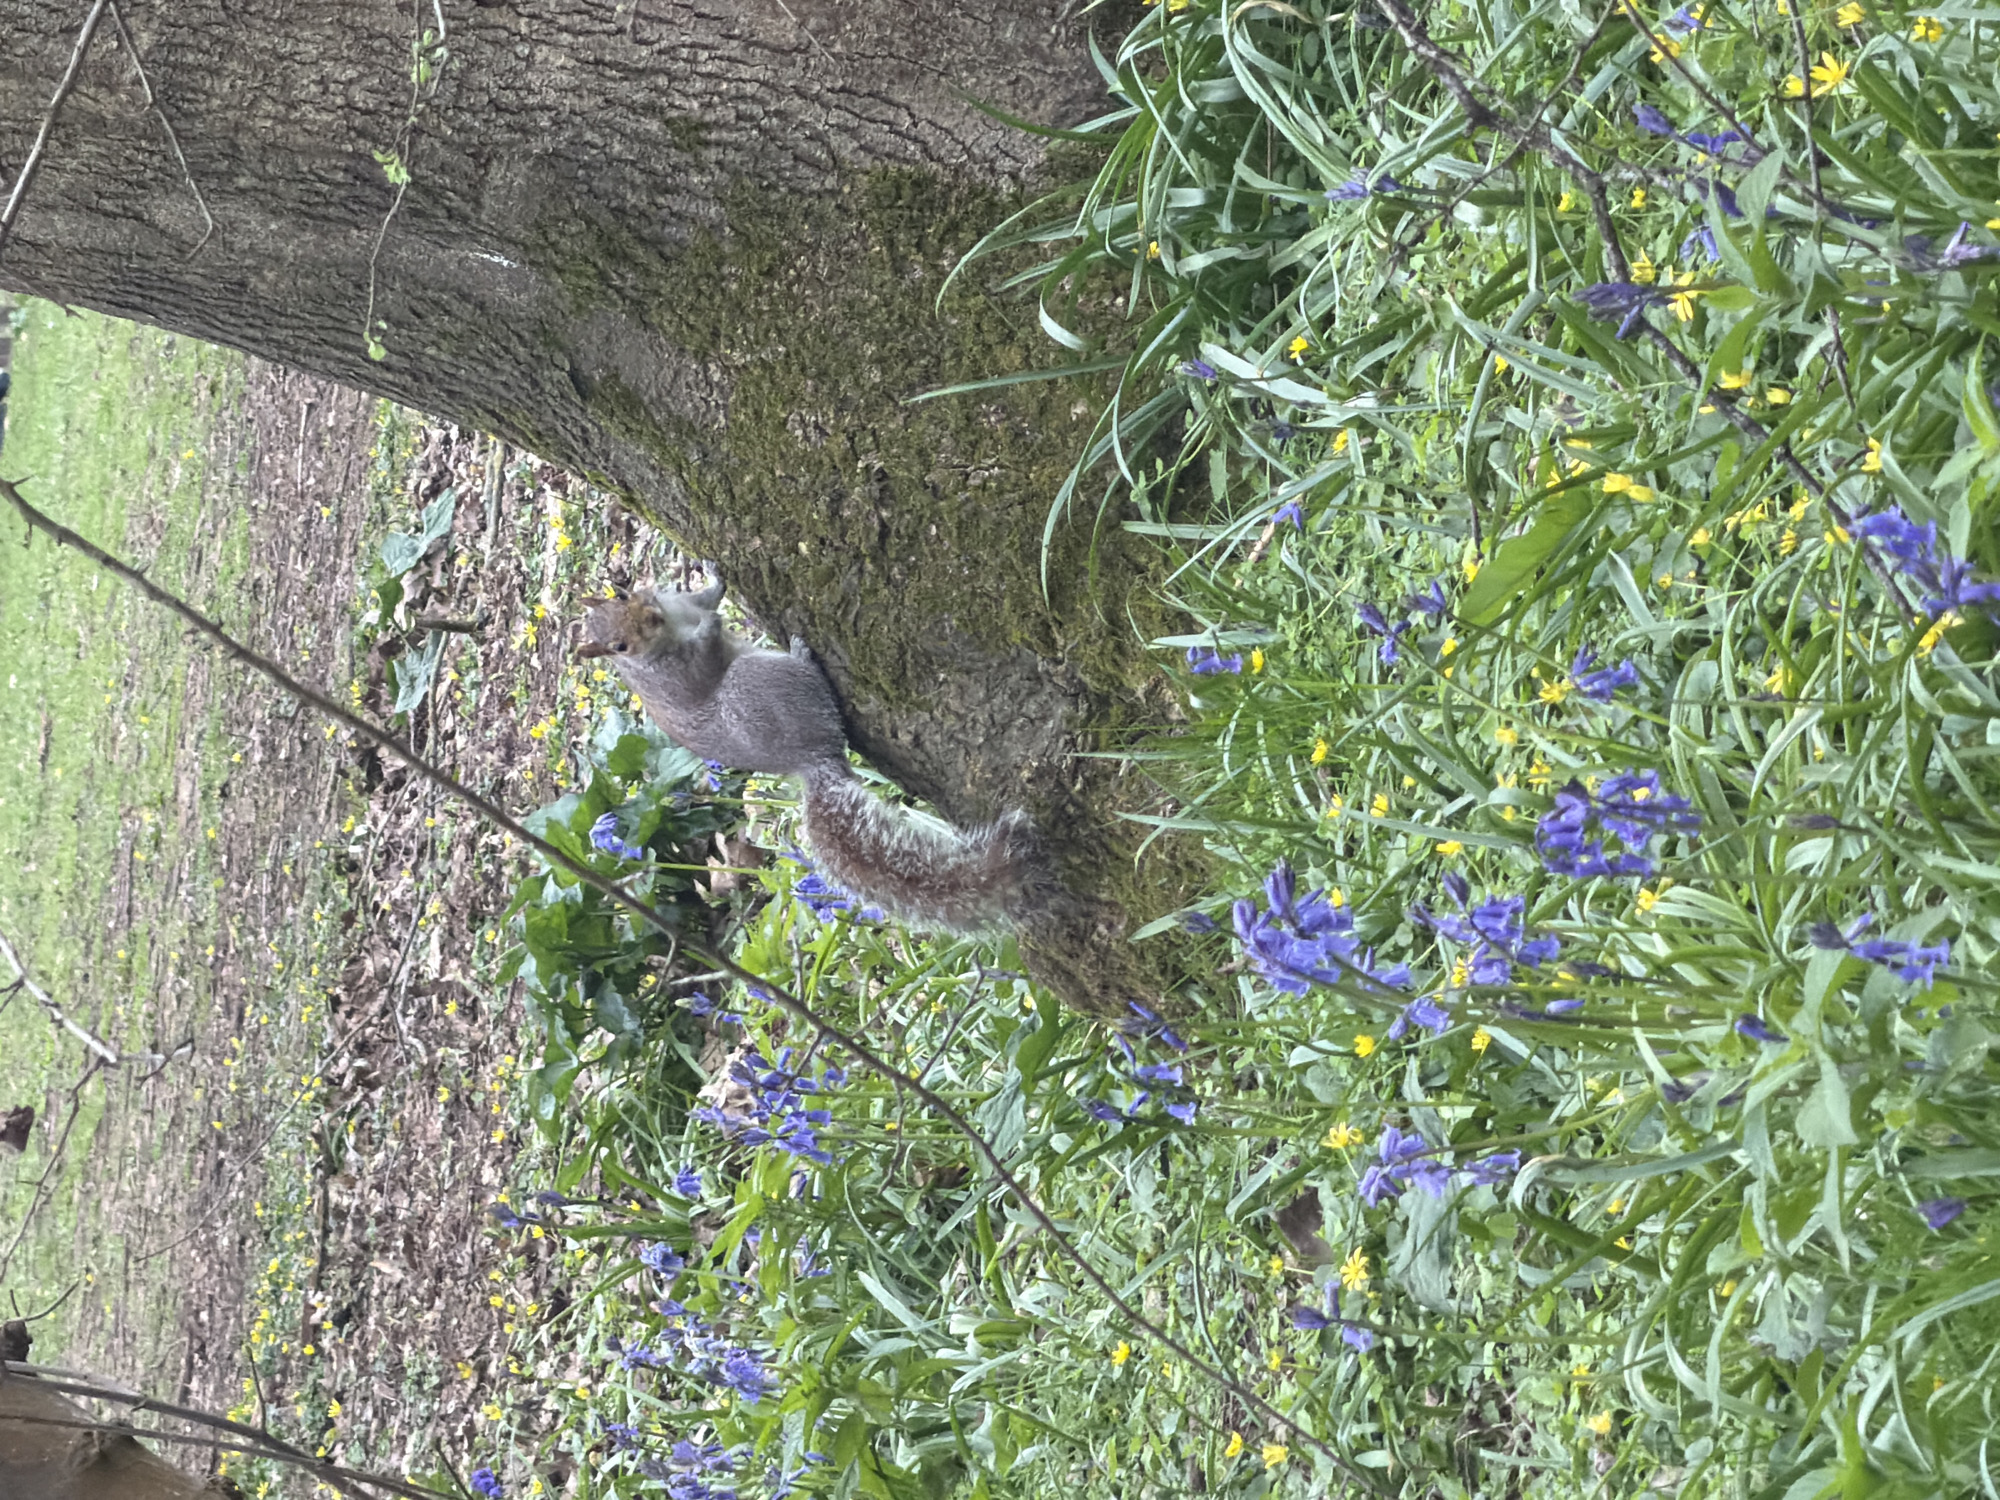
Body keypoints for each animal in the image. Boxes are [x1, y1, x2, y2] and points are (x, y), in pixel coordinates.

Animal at [577, 580, 1037, 934]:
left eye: (622, 594)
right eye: (618, 646)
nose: (651, 619)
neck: (669, 630)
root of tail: (812, 757)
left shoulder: (676, 602)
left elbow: (703, 597)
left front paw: (715, 579)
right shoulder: (678, 673)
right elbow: (705, 650)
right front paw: (713, 623)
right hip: (757, 684)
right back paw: (801, 654)